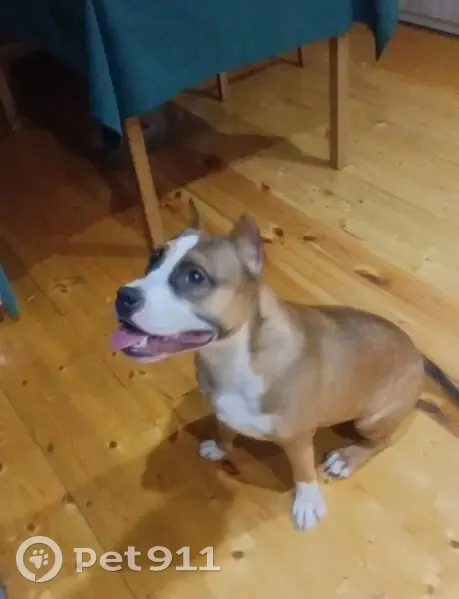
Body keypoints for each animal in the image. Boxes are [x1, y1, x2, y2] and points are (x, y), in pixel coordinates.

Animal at [111, 203, 459, 531]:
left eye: (196, 277)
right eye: (153, 259)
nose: (123, 296)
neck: (232, 355)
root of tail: (417, 354)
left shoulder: (298, 438)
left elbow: (303, 470)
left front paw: (307, 503)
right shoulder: (225, 411)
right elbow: (225, 429)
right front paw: (220, 447)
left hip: (372, 419)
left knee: (380, 441)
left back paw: (347, 457)